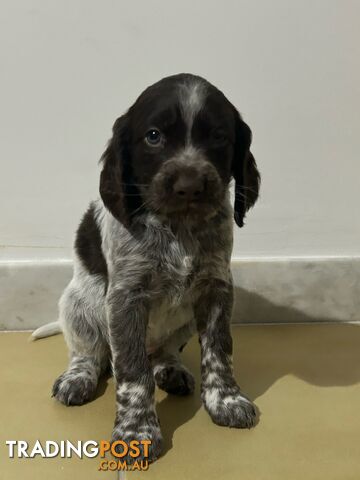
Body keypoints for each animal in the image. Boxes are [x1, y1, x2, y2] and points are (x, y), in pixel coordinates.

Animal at [37, 73, 262, 464]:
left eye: (219, 136)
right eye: (153, 136)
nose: (190, 186)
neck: (178, 228)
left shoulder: (216, 288)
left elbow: (219, 350)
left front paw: (226, 400)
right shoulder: (126, 297)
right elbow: (131, 370)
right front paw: (136, 433)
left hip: (183, 321)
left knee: (161, 351)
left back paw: (170, 369)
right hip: (79, 302)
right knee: (89, 352)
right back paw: (77, 378)